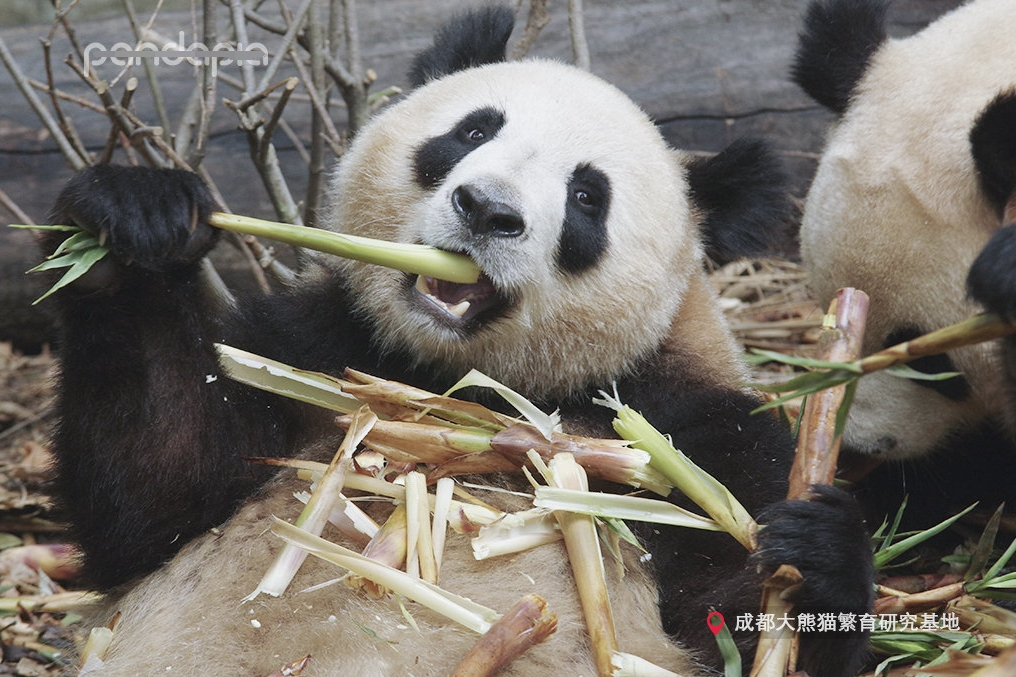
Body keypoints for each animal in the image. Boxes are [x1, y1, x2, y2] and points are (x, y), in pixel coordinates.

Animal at [47, 6, 873, 674]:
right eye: (473, 130)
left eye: (587, 196)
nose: (487, 208)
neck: (459, 377)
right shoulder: (312, 351)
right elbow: (162, 498)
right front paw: (130, 229)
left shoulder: (691, 434)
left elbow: (733, 614)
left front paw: (820, 555)